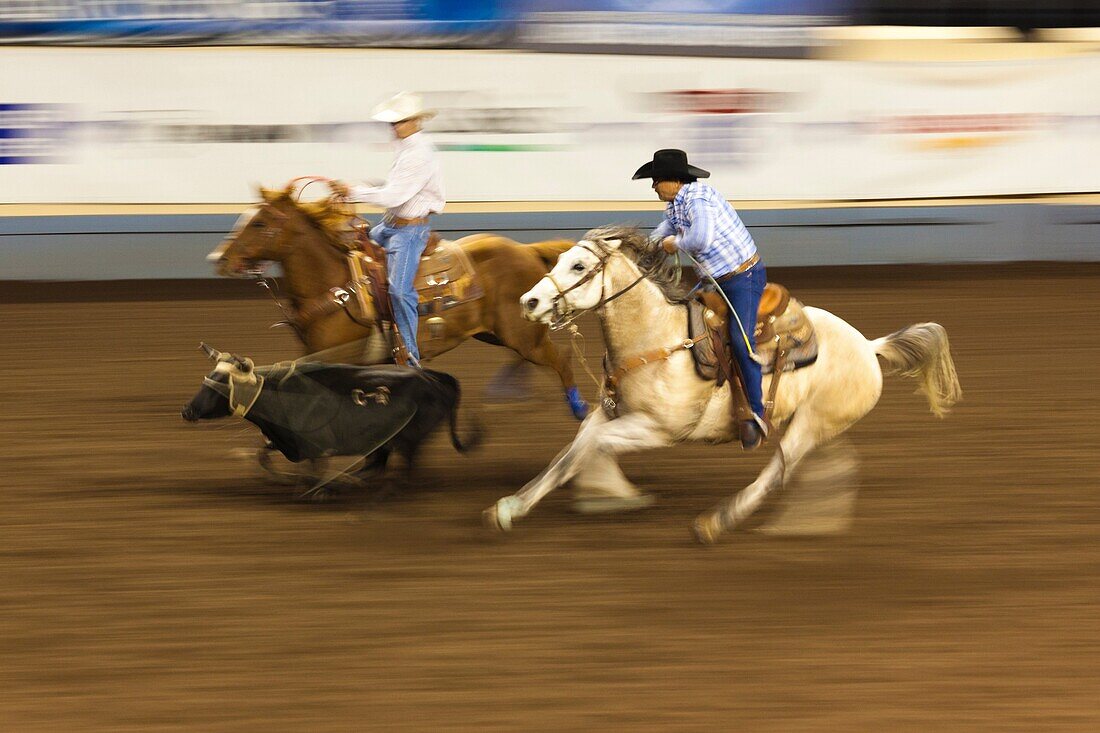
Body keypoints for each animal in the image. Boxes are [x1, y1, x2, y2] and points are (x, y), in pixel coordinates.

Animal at [207, 186, 594, 416]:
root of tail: (526, 249)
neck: (336, 286)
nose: (219, 259)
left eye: (259, 223)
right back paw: (508, 387)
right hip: (499, 332)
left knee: (560, 359)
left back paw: (577, 408)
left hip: (521, 335)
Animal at [486, 225, 959, 539]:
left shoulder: (659, 430)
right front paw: (513, 506)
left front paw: (609, 493)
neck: (656, 338)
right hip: (817, 424)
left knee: (777, 471)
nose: (530, 301)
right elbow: (571, 451)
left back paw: (719, 521)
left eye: (579, 265)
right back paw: (810, 520)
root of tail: (869, 345)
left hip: (810, 425)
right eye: (557, 260)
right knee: (831, 464)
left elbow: (589, 448)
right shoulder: (609, 413)